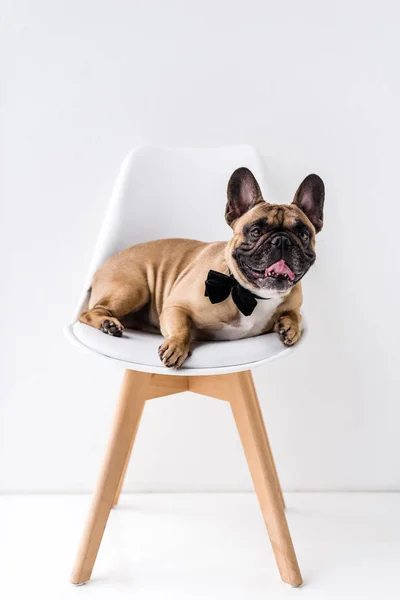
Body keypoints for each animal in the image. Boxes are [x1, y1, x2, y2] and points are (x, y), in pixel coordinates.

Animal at [79, 166, 324, 368]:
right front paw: (176, 345)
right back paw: (108, 324)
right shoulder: (175, 307)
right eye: (255, 231)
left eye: (304, 235)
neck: (252, 295)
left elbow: (294, 315)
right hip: (133, 289)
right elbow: (181, 328)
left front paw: (290, 327)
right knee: (88, 312)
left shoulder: (294, 304)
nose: (282, 241)